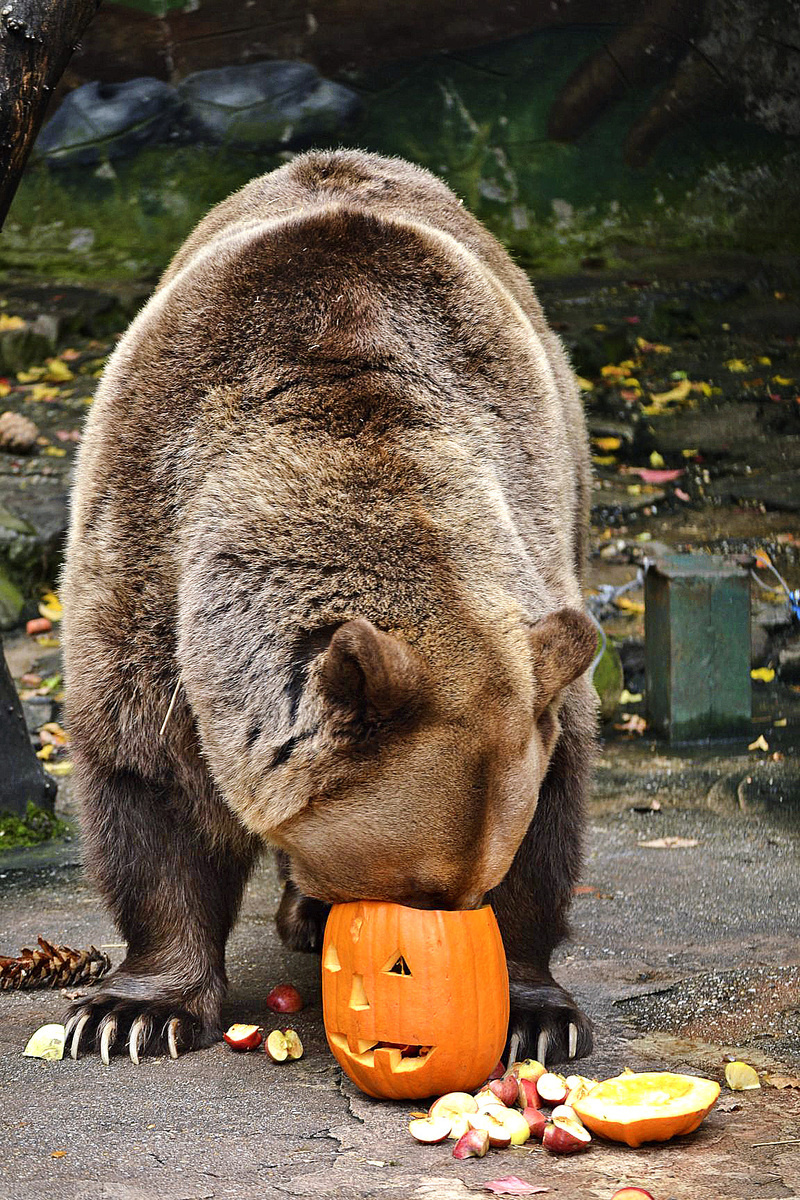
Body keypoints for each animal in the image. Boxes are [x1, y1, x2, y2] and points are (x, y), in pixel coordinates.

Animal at [62, 147, 597, 1070]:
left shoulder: (531, 556)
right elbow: (150, 785)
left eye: (475, 887)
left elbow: (553, 794)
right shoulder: (147, 564)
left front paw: (535, 1012)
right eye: (414, 889)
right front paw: (130, 1013)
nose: (441, 955)